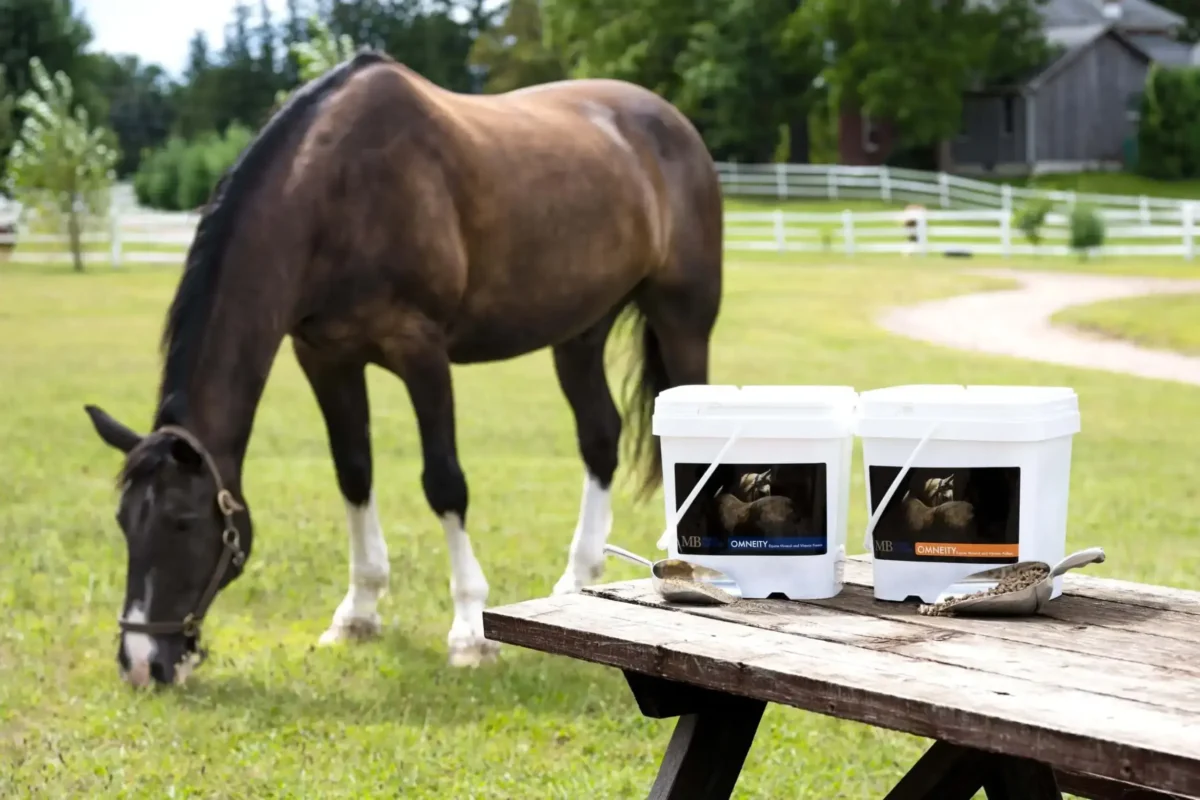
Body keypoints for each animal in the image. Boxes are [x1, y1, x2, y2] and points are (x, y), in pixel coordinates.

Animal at [82, 50, 724, 688]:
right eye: (122, 522)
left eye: (183, 521)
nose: (141, 662)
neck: (336, 194)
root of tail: (673, 124)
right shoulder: (326, 358)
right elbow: (353, 473)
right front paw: (357, 614)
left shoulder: (421, 352)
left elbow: (444, 483)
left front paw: (469, 631)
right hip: (579, 332)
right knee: (599, 436)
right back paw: (575, 580)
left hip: (682, 320)